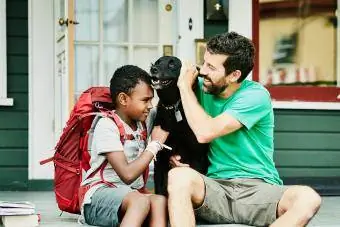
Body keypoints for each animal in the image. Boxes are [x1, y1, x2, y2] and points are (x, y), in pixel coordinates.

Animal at [149, 55, 209, 195]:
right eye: (158, 62)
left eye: (172, 64)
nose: (153, 68)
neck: (172, 107)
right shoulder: (160, 158)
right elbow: (159, 190)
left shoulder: (197, 158)